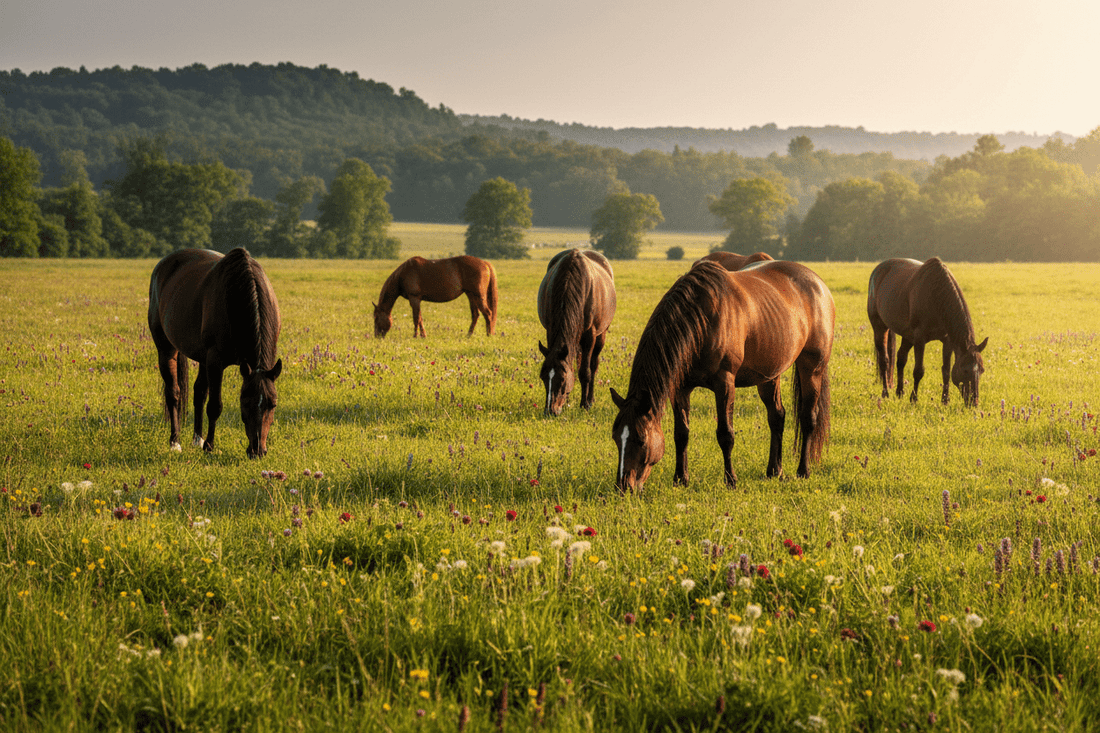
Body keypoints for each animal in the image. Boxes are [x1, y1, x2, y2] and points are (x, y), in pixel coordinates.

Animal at [148, 248, 283, 458]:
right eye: (245, 402)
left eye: (273, 404)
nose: (257, 451)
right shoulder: (215, 361)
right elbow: (214, 406)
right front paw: (209, 446)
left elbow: (204, 397)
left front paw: (204, 442)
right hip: (166, 349)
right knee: (173, 393)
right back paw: (175, 442)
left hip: (202, 358)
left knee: (198, 392)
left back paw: (197, 439)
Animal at [536, 249, 617, 415]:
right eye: (542, 377)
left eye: (562, 378)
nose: (550, 411)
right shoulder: (550, 330)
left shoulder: (590, 335)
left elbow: (585, 371)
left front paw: (584, 404)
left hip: (601, 336)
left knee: (593, 365)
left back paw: (590, 399)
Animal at [610, 260, 834, 492]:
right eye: (616, 438)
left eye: (641, 440)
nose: (623, 486)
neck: (701, 320)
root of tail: (818, 283)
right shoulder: (680, 388)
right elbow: (681, 434)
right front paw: (681, 478)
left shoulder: (725, 383)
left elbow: (725, 434)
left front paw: (730, 479)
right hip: (770, 374)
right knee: (777, 416)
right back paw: (774, 470)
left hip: (812, 368)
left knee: (808, 418)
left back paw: (803, 470)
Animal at [867, 257, 988, 407]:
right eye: (965, 370)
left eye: (982, 370)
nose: (974, 403)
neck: (937, 297)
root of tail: (878, 270)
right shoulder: (920, 339)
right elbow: (918, 371)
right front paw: (913, 399)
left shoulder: (947, 341)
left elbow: (946, 370)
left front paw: (945, 400)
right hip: (880, 327)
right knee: (884, 360)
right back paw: (885, 393)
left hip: (908, 336)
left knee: (901, 358)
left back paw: (900, 392)